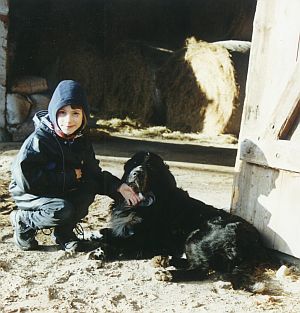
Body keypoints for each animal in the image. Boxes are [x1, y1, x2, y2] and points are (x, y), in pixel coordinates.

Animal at [99, 151, 268, 288]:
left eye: (151, 168)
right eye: (135, 163)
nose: (137, 173)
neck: (146, 201)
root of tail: (256, 243)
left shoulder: (148, 241)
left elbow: (121, 244)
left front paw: (102, 251)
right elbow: (106, 232)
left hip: (196, 237)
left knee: (200, 270)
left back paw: (167, 273)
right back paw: (167, 260)